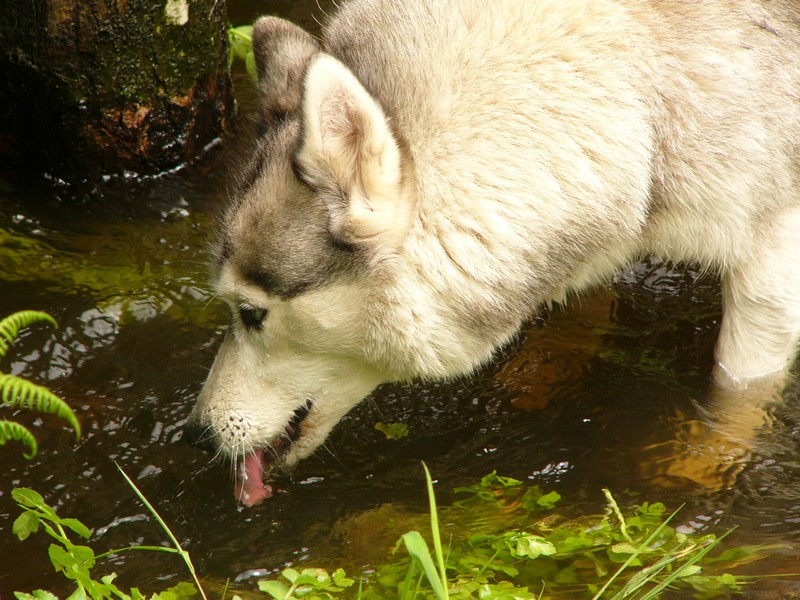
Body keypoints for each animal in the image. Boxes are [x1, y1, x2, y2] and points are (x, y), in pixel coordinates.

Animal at [189, 0, 800, 506]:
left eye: (251, 314)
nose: (195, 434)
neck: (635, 85)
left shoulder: (771, 261)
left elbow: (736, 392)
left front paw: (705, 463)